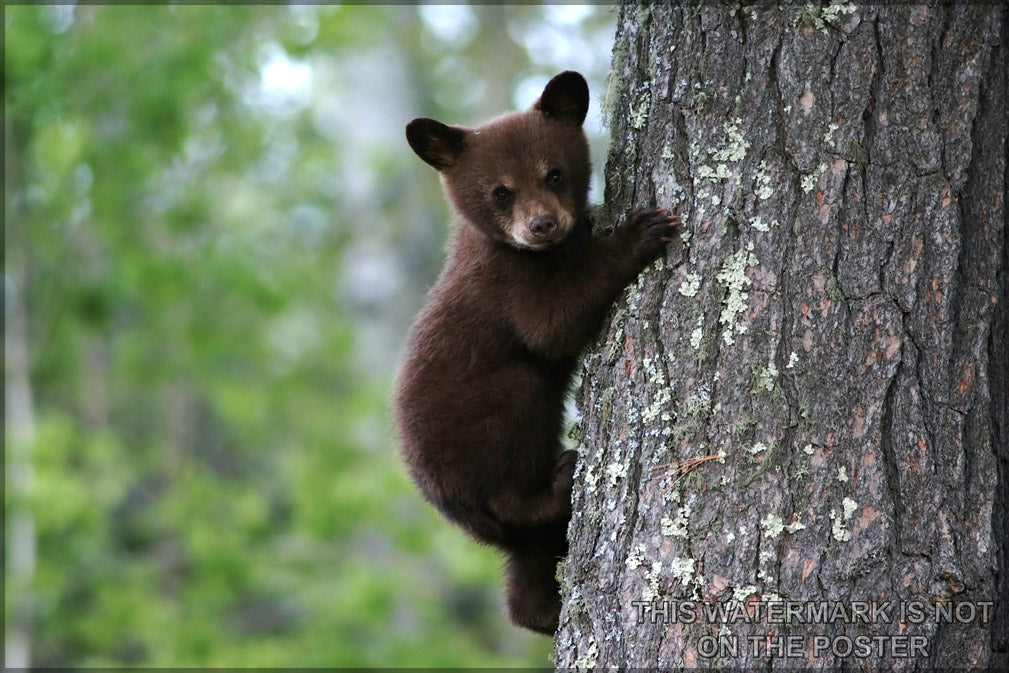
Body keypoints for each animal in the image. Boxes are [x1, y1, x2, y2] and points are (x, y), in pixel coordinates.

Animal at [394, 71, 677, 634]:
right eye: (500, 192)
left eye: (554, 174)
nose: (542, 224)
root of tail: (449, 505)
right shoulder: (507, 285)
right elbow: (552, 325)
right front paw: (639, 233)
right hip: (485, 426)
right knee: (516, 455)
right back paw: (559, 479)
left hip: (514, 540)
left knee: (527, 567)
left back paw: (542, 611)